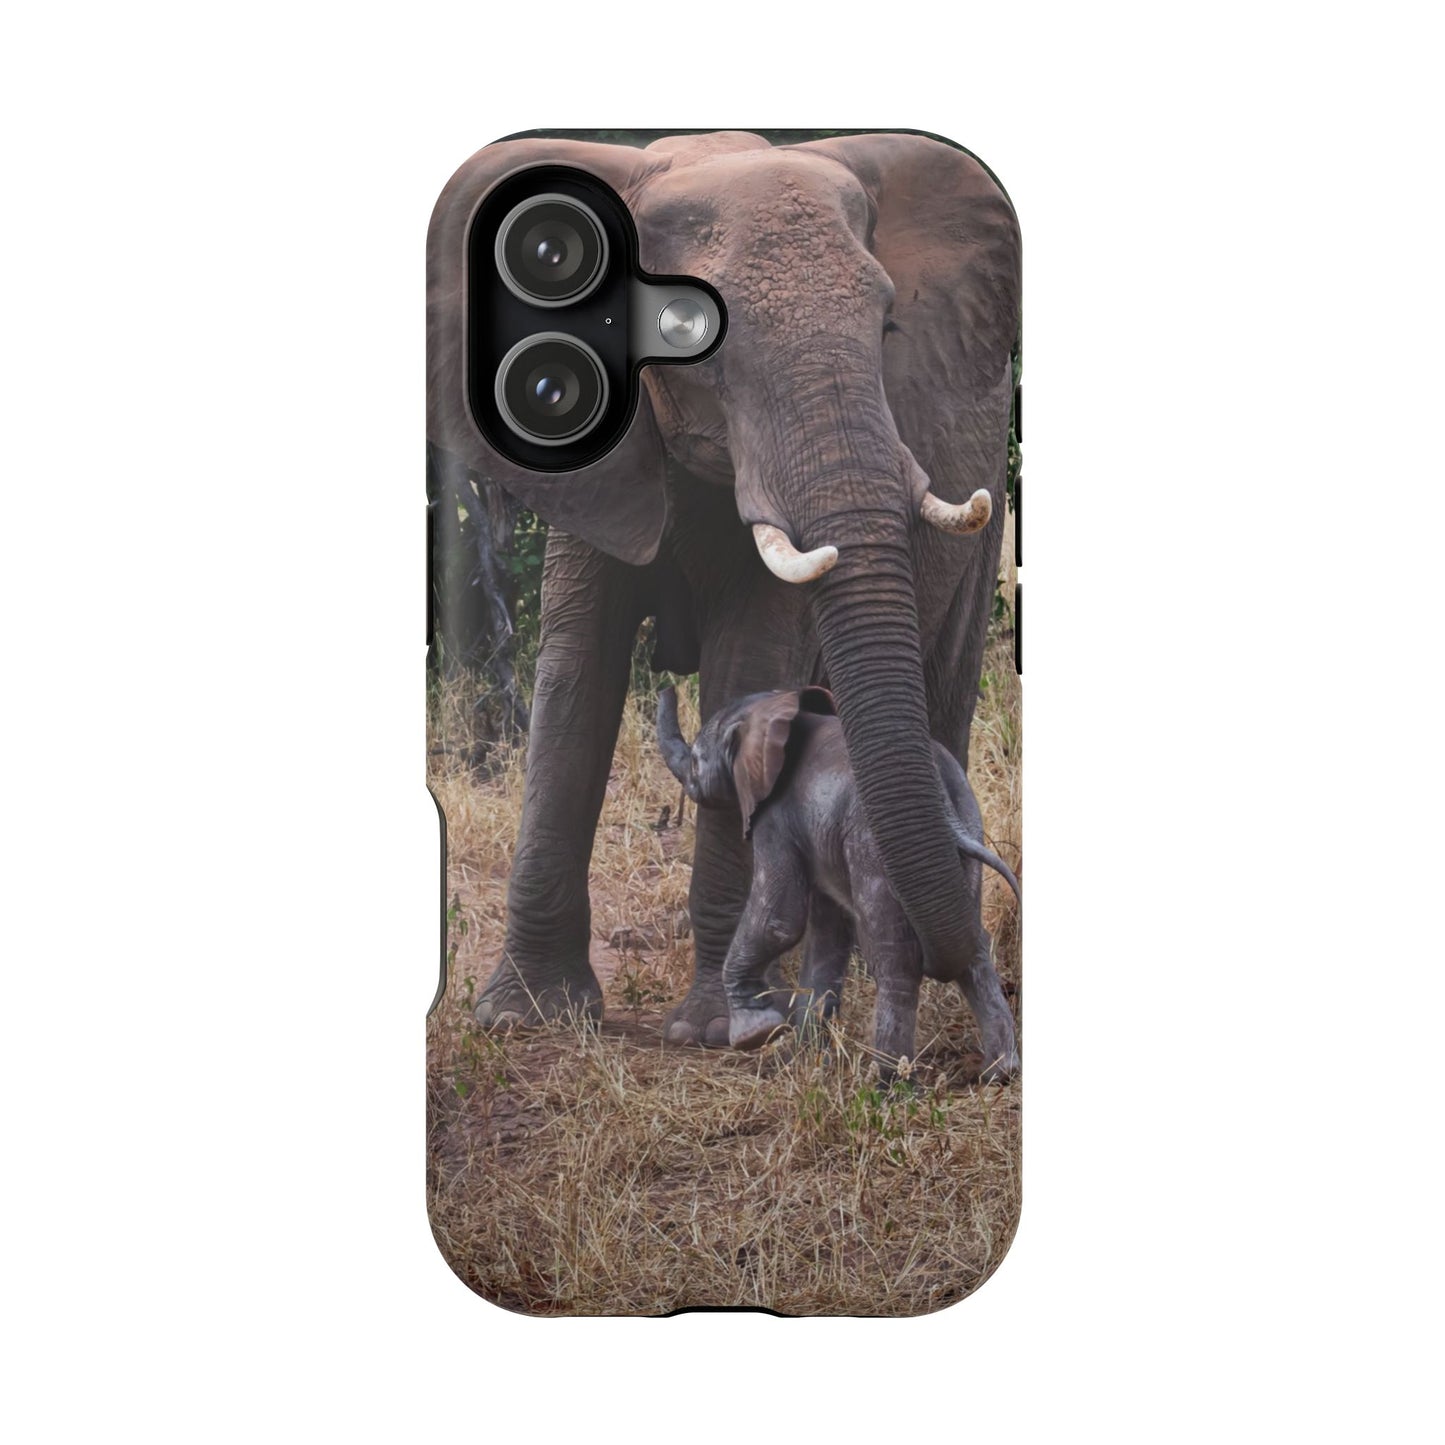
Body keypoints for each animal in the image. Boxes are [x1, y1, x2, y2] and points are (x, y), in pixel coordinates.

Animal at [655, 685, 1020, 1077]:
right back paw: (1000, 1072)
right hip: (969, 825)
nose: (665, 687)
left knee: (894, 955)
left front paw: (756, 1033)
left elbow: (778, 922)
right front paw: (802, 1061)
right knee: (974, 946)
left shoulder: (775, 816)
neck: (775, 710)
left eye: (696, 761)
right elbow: (826, 935)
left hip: (871, 844)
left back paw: (889, 1080)